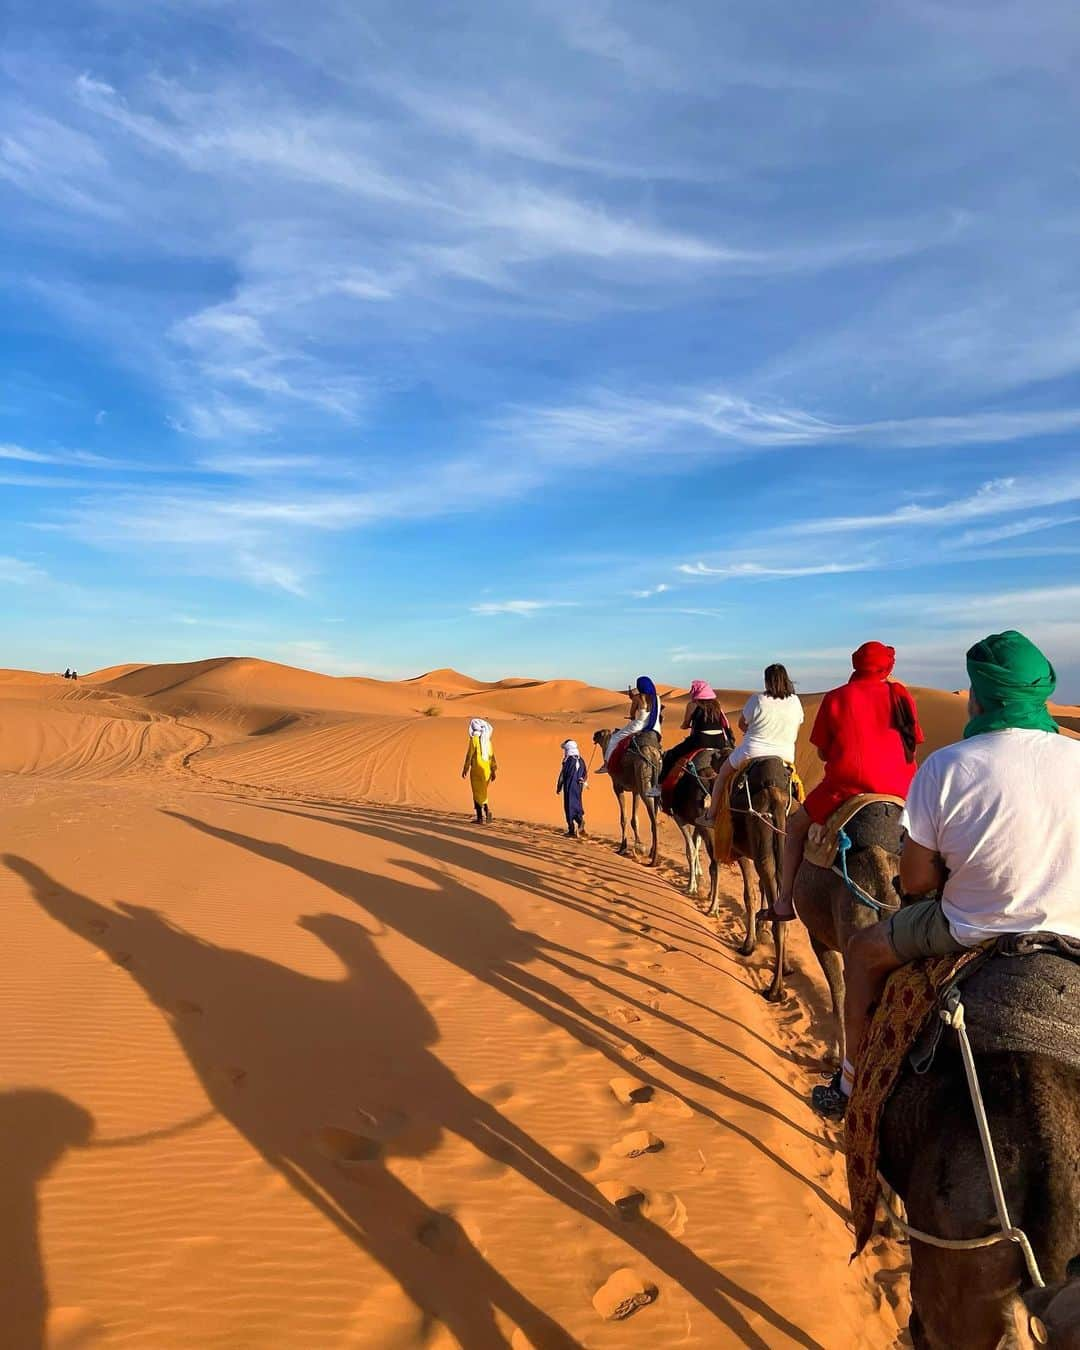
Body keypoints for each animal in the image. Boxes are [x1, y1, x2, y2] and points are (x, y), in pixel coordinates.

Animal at [591, 729, 658, 864]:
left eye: (599, 734)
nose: (593, 736)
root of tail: (651, 753)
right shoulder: (635, 790)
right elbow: (634, 819)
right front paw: (639, 845)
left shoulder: (617, 786)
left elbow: (624, 818)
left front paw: (623, 847)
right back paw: (652, 853)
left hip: (643, 778)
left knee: (652, 816)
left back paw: (653, 858)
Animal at [702, 761, 788, 1004]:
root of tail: (777, 798)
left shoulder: (741, 854)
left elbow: (750, 895)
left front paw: (748, 945)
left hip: (761, 847)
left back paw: (774, 991)